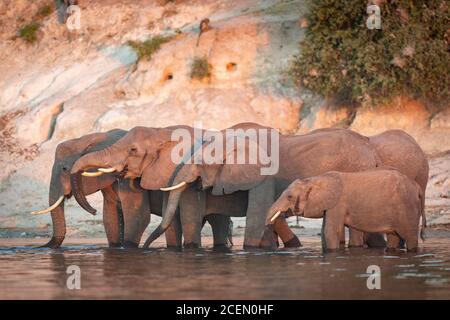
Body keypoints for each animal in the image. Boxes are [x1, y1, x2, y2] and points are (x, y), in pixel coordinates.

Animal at [266, 168, 428, 252]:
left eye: (289, 196)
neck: (315, 179)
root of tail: (418, 188)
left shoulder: (338, 204)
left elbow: (329, 231)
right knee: (393, 237)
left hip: (407, 209)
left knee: (410, 237)